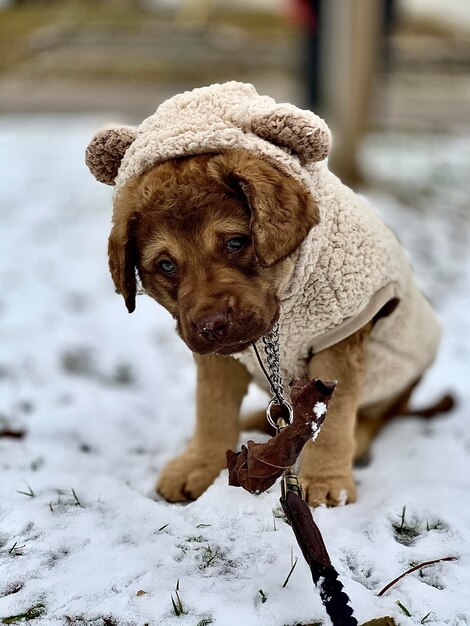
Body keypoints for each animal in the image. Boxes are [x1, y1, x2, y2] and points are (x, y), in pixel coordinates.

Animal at [109, 149, 408, 504]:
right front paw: (199, 465)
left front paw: (326, 483)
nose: (212, 324)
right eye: (166, 265)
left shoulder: (338, 341)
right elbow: (212, 410)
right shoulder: (219, 359)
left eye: (236, 243)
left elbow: (332, 423)